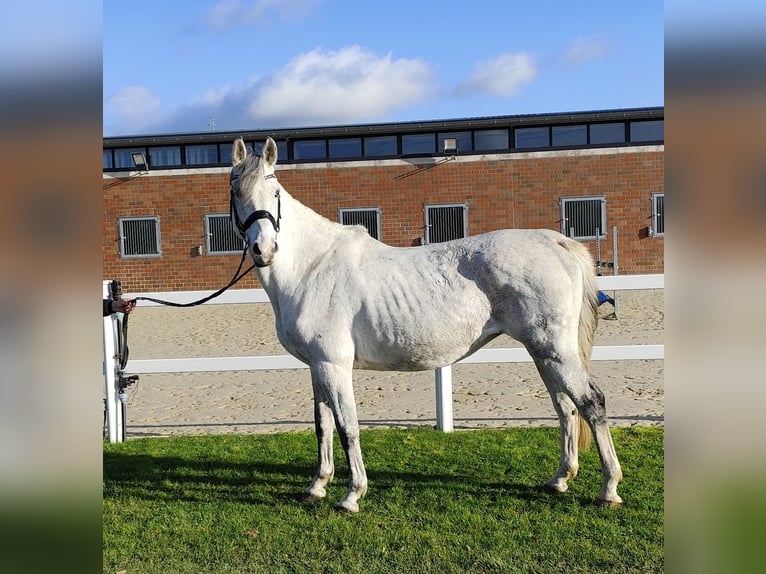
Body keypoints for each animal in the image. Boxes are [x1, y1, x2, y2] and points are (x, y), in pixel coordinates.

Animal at [230, 138, 624, 512]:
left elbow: (347, 427)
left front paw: (352, 495)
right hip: (544, 353)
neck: (313, 266)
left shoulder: (334, 365)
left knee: (591, 403)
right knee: (565, 406)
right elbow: (323, 425)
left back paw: (608, 489)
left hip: (555, 351)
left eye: (275, 192)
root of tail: (554, 240)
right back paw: (559, 479)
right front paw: (317, 487)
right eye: (237, 192)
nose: (264, 249)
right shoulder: (318, 366)